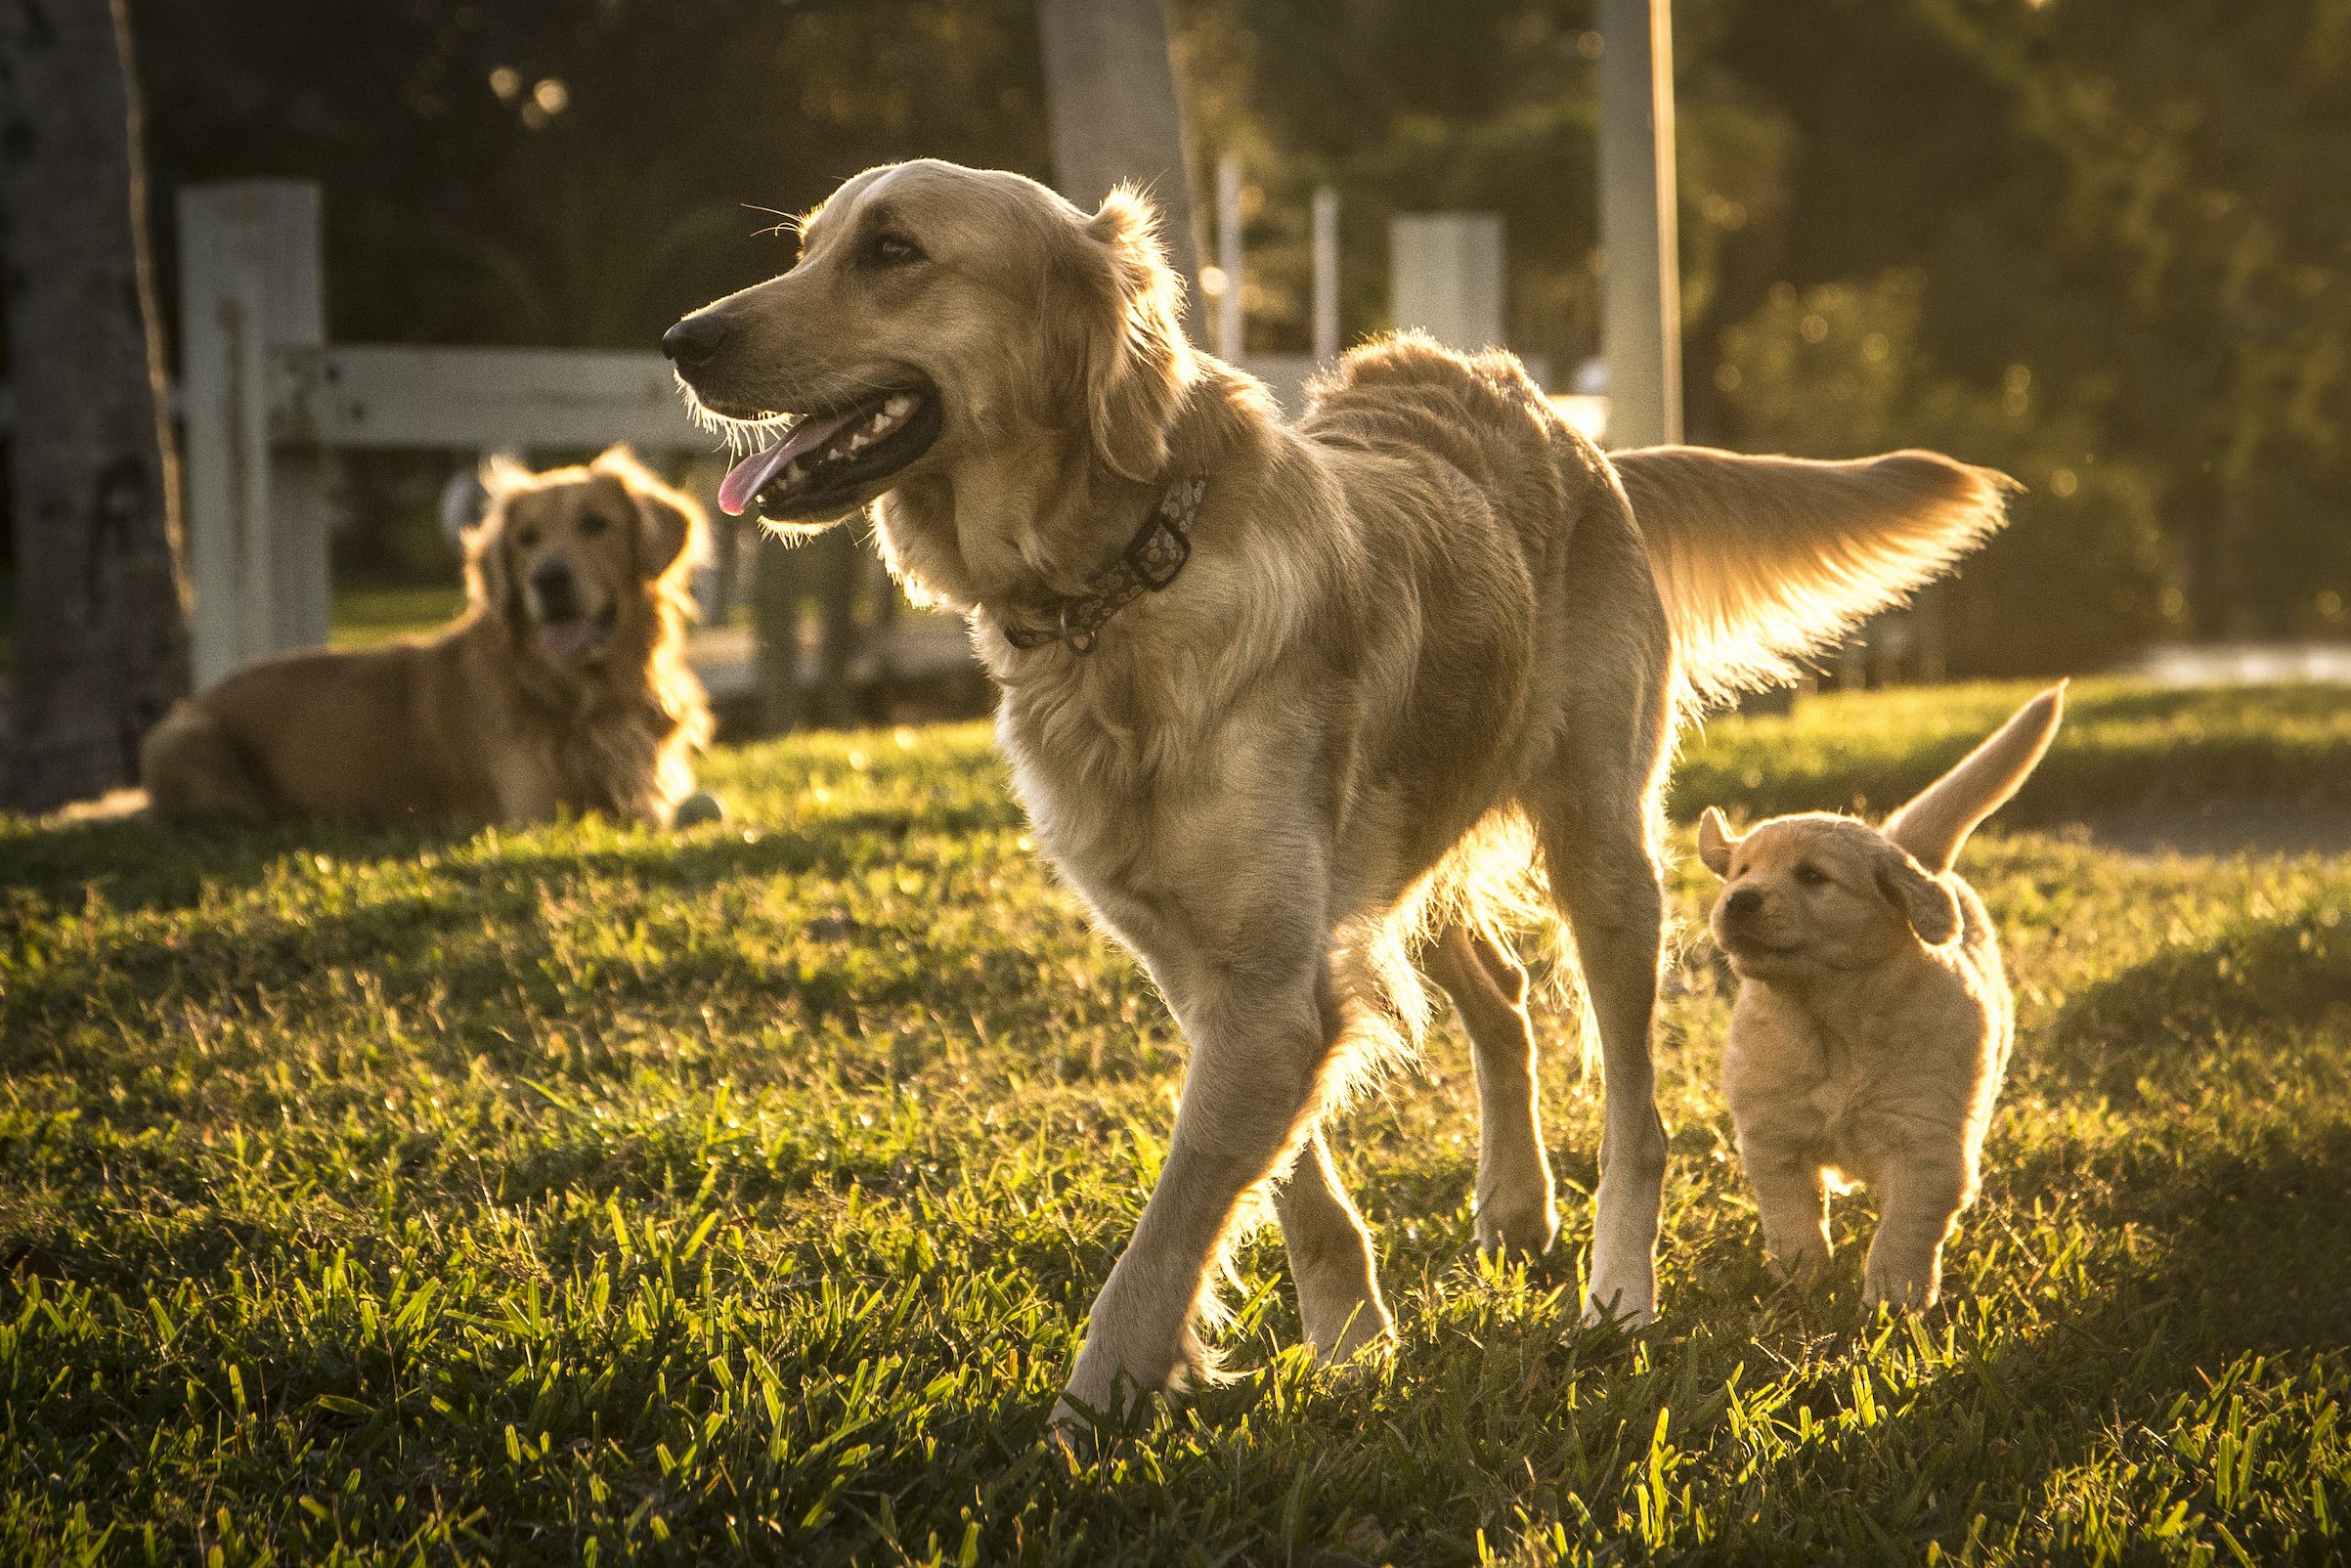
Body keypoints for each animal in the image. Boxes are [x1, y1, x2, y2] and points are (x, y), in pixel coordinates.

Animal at [136, 446, 700, 827]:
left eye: (595, 524)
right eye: (526, 540)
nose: (549, 578)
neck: (583, 694)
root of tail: (200, 695)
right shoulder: (533, 812)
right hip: (187, 740)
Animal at [653, 161, 2012, 1438]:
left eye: (892, 251)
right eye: (806, 244)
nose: (681, 338)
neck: (1124, 585)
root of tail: (1575, 436)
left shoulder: (1270, 984)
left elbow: (1161, 1241)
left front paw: (1085, 1422)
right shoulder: (1226, 970)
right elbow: (1288, 1187)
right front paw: (1352, 1342)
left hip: (1602, 852)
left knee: (1634, 1108)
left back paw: (1616, 1290)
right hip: (1404, 853)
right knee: (1499, 994)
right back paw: (1514, 1202)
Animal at [1702, 686, 2068, 1316]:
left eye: (1812, 876)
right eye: (1740, 871)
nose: (1738, 900)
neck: (1827, 1018)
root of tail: (1903, 844)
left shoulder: (1927, 1146)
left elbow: (1905, 1230)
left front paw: (1894, 1300)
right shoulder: (1773, 1137)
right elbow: (1793, 1218)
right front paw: (1801, 1280)